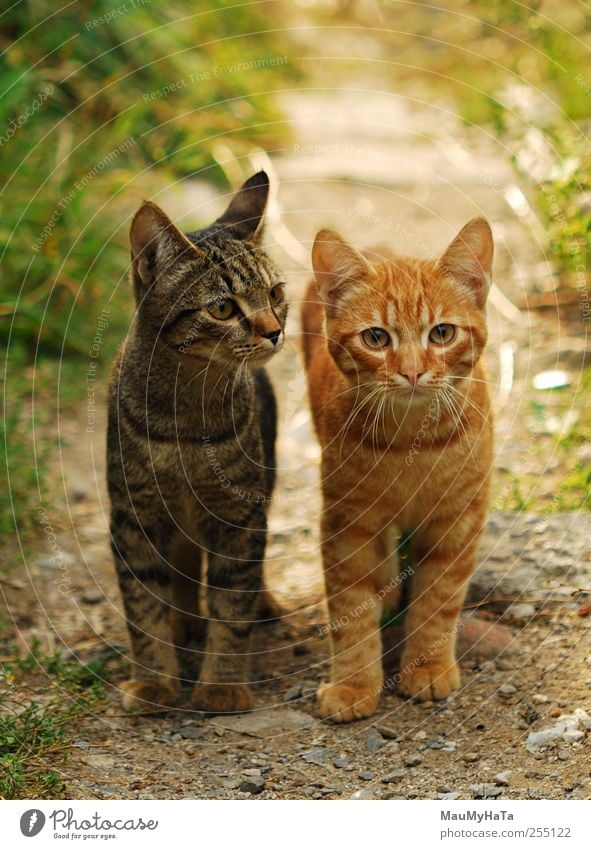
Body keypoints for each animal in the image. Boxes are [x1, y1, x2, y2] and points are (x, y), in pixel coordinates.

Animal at [110, 174, 290, 716]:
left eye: (275, 293)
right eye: (223, 308)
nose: (275, 332)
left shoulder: (239, 514)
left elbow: (232, 602)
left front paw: (222, 685)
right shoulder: (135, 516)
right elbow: (143, 607)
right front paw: (154, 681)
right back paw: (184, 619)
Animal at [300, 219, 494, 724]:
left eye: (442, 333)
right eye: (376, 338)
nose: (411, 372)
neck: (411, 442)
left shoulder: (458, 520)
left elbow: (438, 601)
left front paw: (427, 667)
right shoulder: (346, 522)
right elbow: (350, 607)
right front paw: (353, 684)